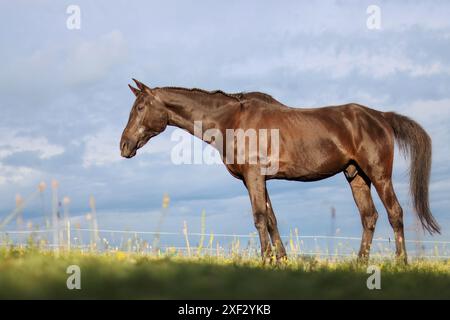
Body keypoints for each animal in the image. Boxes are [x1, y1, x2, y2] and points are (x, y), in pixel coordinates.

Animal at [119, 79, 440, 262]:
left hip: (378, 174)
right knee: (369, 217)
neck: (231, 120)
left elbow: (260, 218)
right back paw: (360, 263)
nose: (124, 146)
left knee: (395, 213)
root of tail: (381, 116)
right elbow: (272, 218)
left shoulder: (253, 176)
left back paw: (401, 263)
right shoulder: (256, 179)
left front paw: (264, 260)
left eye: (140, 107)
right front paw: (280, 260)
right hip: (356, 176)